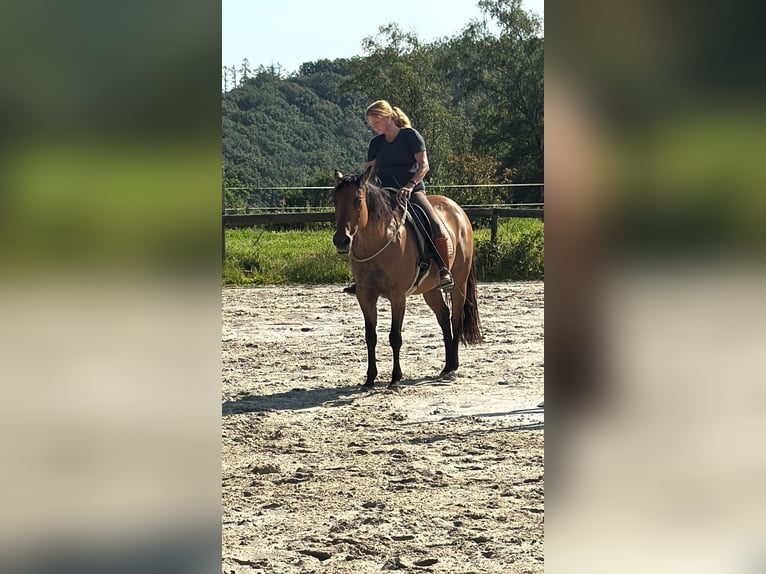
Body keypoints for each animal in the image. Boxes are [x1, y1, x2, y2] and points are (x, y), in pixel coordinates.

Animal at [332, 166, 483, 389]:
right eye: (335, 200)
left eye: (358, 200)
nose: (341, 240)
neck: (378, 242)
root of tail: (458, 210)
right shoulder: (365, 296)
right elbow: (370, 336)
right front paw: (370, 379)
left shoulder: (397, 296)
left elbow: (395, 337)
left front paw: (395, 378)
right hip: (430, 289)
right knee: (444, 317)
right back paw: (446, 366)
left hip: (460, 282)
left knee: (456, 318)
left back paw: (453, 367)